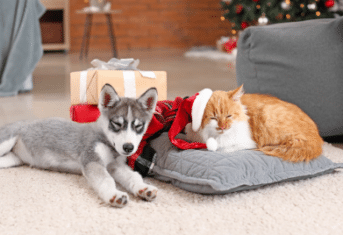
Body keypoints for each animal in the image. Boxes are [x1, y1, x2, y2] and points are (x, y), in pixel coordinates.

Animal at [0, 84, 159, 207]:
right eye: (117, 124)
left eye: (138, 126)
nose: (128, 147)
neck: (108, 142)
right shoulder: (92, 160)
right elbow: (106, 180)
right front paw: (114, 194)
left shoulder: (116, 166)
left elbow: (133, 177)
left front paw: (143, 188)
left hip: (12, 159)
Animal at [187, 85, 324, 163]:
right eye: (213, 118)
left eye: (229, 116)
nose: (223, 126)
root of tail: (317, 140)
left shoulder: (247, 142)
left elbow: (224, 148)